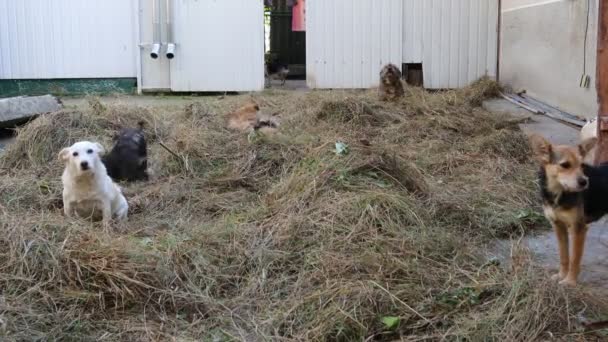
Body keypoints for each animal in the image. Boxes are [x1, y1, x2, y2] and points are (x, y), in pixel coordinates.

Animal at [528, 134, 604, 286]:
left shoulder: (578, 227)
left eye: (582, 165)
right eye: (565, 165)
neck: (559, 193)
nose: (584, 182)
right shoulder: (558, 225)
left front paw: (570, 281)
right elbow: (564, 256)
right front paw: (561, 275)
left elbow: (574, 258)